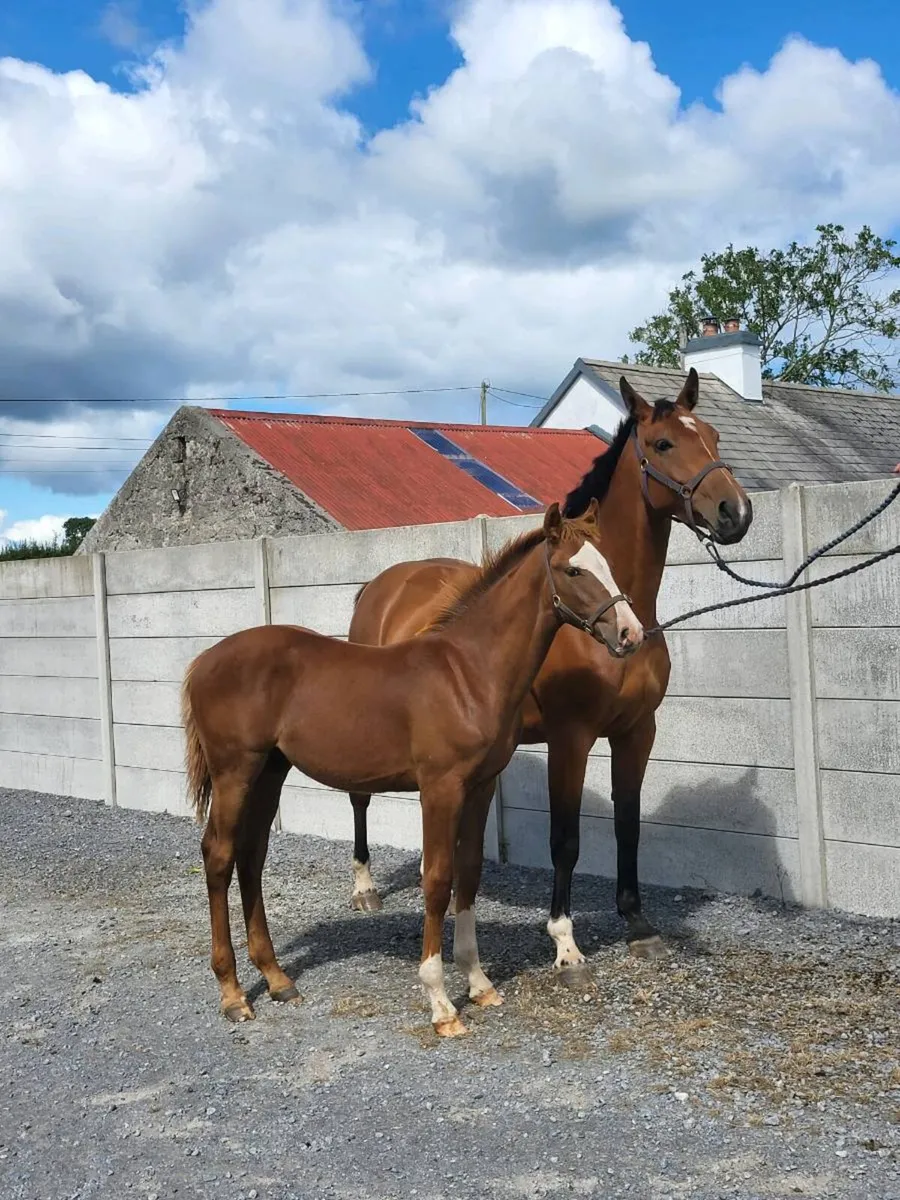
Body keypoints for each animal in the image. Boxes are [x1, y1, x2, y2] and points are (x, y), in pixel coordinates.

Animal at [181, 500, 644, 1035]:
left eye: (608, 565)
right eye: (573, 570)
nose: (630, 633)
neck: (469, 673)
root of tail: (204, 661)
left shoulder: (480, 787)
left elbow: (469, 873)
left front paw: (479, 984)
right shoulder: (439, 789)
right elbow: (438, 880)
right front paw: (441, 1003)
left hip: (270, 771)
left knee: (251, 855)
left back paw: (277, 979)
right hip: (235, 771)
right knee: (218, 855)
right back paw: (233, 993)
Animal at [345, 368, 754, 978]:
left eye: (713, 435)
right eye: (663, 444)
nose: (735, 513)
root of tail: (381, 585)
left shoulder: (637, 732)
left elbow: (628, 825)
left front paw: (638, 925)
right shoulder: (571, 737)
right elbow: (565, 840)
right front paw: (565, 942)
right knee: (360, 799)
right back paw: (366, 888)